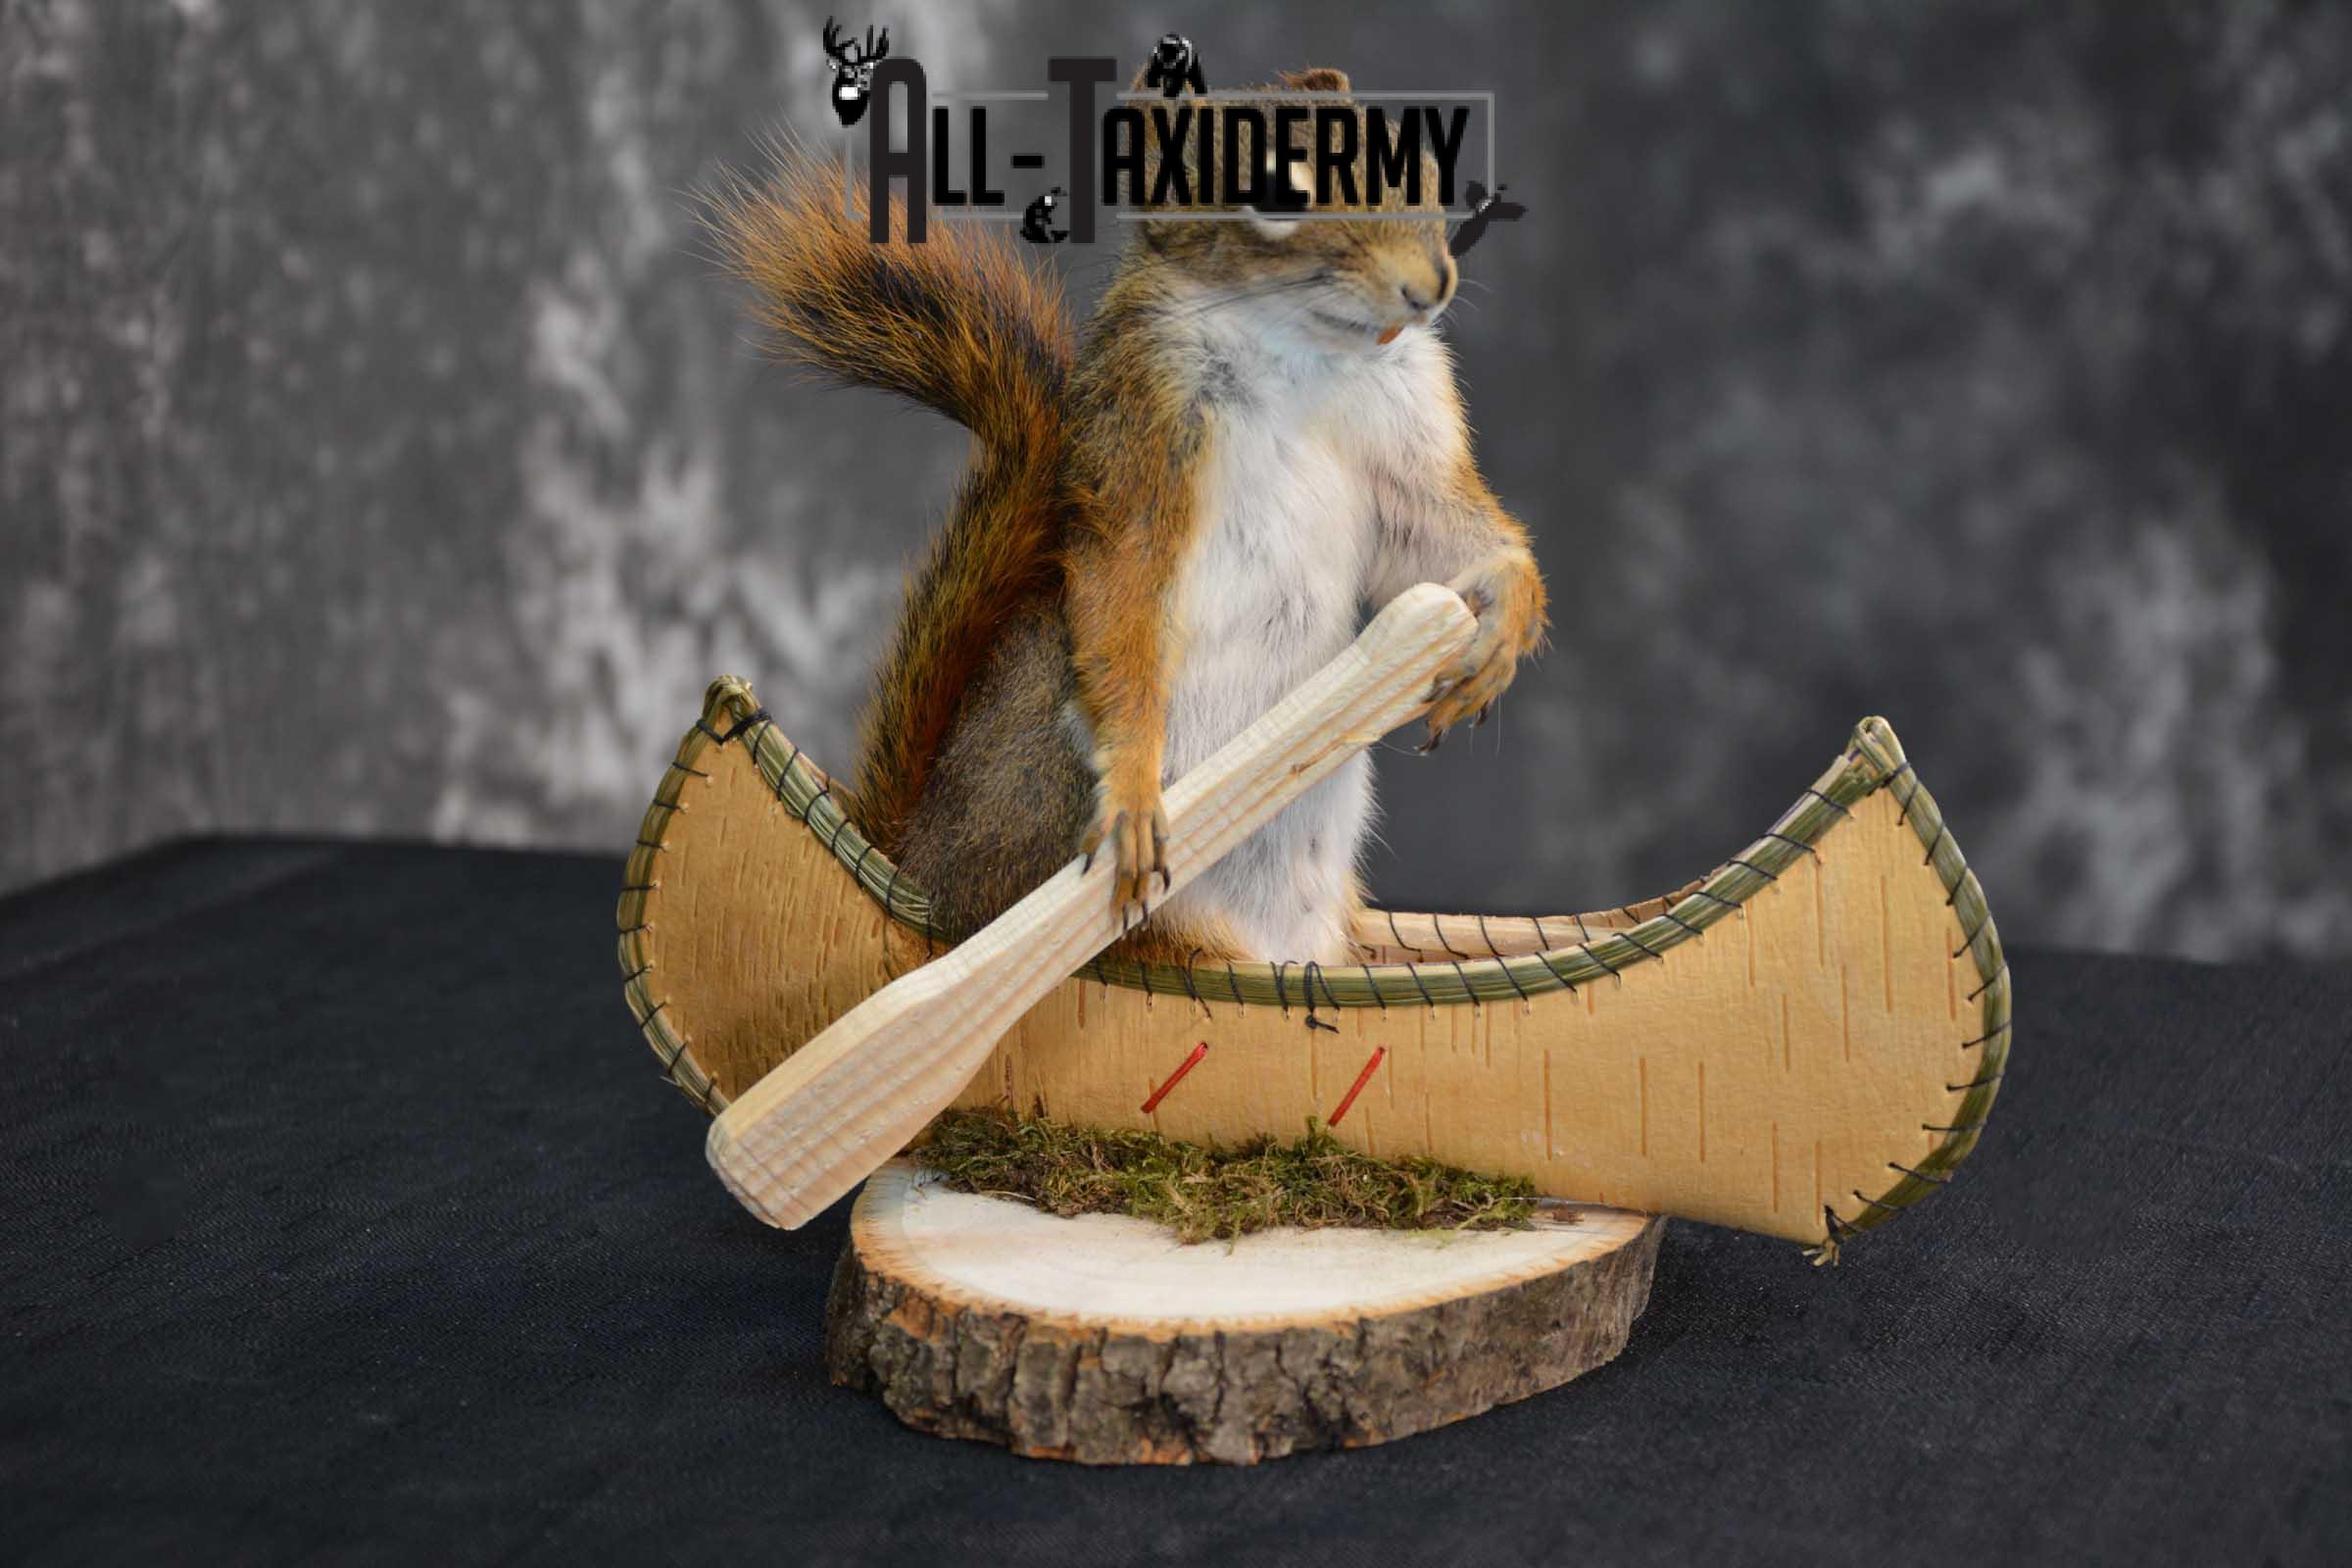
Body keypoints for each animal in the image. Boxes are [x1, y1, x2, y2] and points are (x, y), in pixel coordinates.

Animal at [706, 67, 1547, 966]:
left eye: (1415, 167)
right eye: (1274, 195)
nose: (1432, 286)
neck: (1305, 356)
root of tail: (924, 876)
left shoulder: (1406, 443)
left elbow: (1436, 537)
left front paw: (1508, 612)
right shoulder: (1140, 438)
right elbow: (1123, 585)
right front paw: (1136, 789)